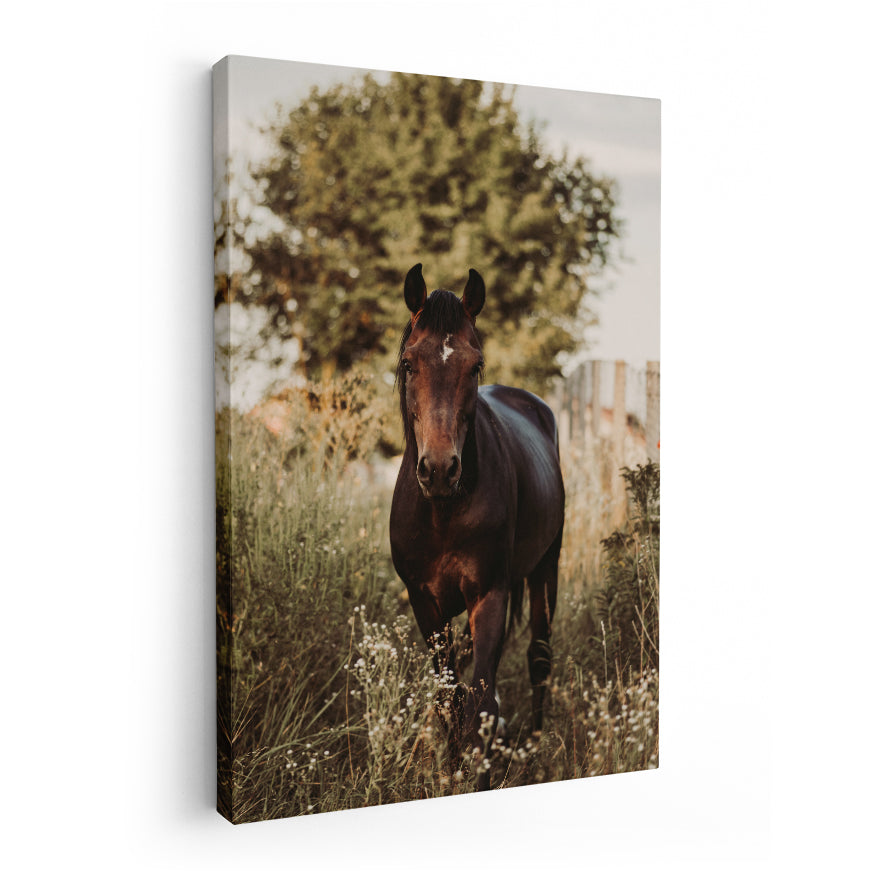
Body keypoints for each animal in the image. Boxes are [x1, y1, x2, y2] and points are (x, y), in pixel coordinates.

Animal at [389, 263, 565, 790]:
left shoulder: (490, 595)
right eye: (409, 363)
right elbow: (450, 701)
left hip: (545, 570)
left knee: (539, 660)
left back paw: (535, 748)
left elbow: (482, 706)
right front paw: (450, 774)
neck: (443, 511)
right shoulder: (425, 605)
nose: (440, 469)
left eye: (475, 365)